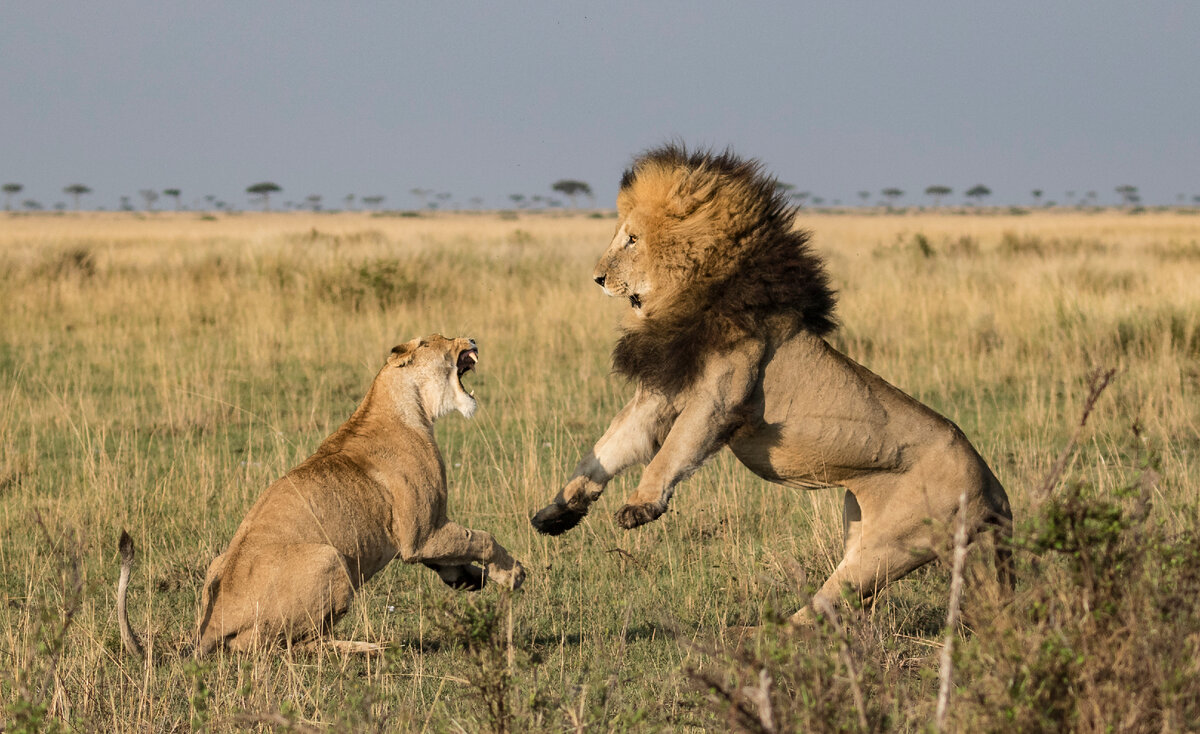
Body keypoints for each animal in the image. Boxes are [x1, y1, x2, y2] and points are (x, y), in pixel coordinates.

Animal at [120, 335, 525, 657]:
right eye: (438, 338)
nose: (471, 339)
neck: (411, 404)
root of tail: (209, 626)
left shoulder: (427, 534)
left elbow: (457, 553)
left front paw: (472, 579)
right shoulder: (420, 534)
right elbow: (482, 539)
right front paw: (514, 573)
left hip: (219, 562)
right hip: (331, 559)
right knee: (288, 645)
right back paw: (370, 647)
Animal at [535, 146, 1012, 623]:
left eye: (632, 239)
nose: (597, 278)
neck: (695, 291)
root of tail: (993, 485)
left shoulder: (718, 398)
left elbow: (671, 451)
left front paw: (640, 506)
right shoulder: (660, 396)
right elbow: (606, 448)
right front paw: (559, 510)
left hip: (892, 542)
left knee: (829, 603)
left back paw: (769, 632)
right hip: (860, 522)